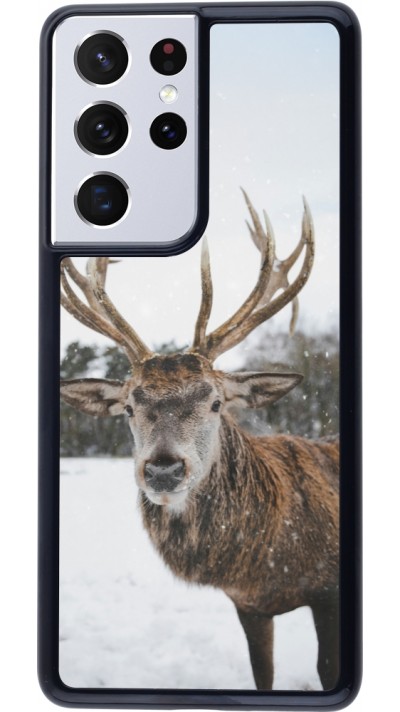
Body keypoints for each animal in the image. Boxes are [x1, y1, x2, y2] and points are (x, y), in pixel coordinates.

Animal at [60, 191, 339, 691]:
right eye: (128, 407)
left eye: (215, 402)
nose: (163, 469)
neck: (268, 564)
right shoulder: (248, 605)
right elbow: (262, 674)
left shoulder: (328, 591)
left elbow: (327, 669)